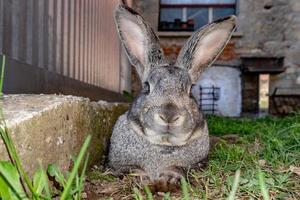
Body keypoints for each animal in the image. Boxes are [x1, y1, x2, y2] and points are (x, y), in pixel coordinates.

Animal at [108, 3, 237, 189]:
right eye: (147, 87)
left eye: (190, 90)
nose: (169, 115)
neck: (164, 144)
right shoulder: (119, 165)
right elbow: (131, 169)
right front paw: (143, 179)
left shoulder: (196, 164)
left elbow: (179, 168)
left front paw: (168, 179)